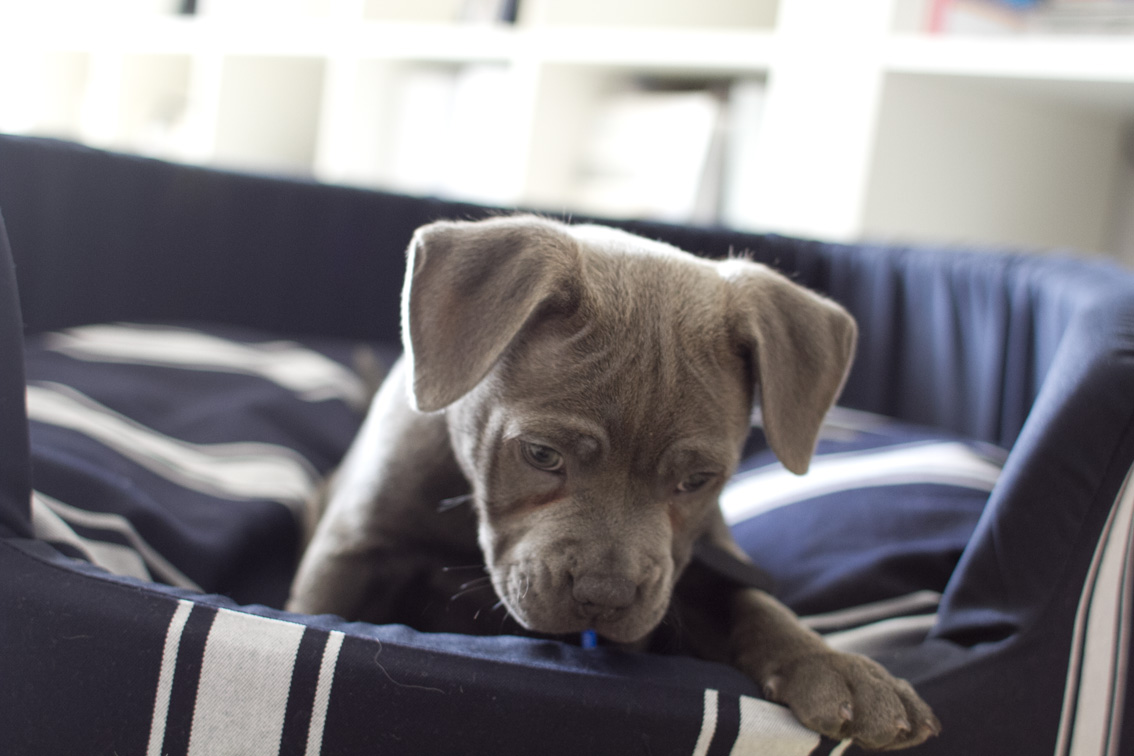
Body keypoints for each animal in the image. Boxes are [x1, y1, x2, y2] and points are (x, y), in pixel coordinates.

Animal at [290, 217, 938, 752]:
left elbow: (753, 600)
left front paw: (838, 668)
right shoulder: (352, 549)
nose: (606, 596)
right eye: (541, 454)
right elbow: (320, 614)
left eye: (696, 480)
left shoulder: (693, 571)